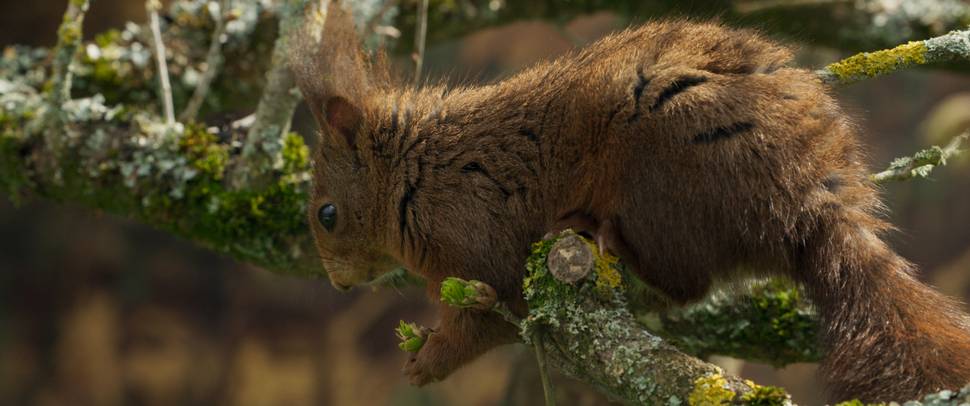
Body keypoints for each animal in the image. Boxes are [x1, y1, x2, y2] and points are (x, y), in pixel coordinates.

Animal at [290, 2, 968, 402]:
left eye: (327, 214)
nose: (339, 284)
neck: (417, 173)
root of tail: (816, 199)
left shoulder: (477, 242)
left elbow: (487, 317)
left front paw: (427, 362)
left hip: (663, 179)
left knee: (685, 283)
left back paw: (601, 235)